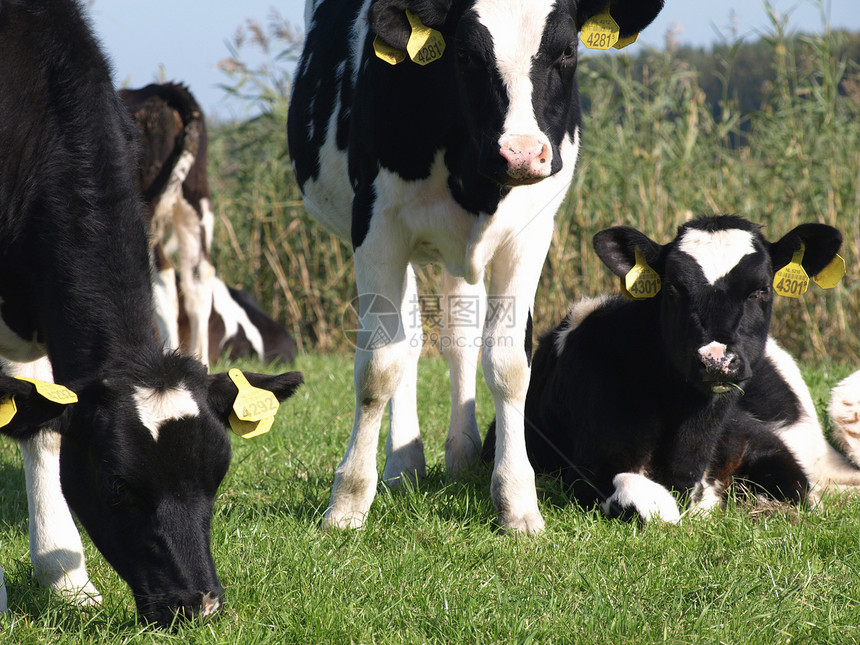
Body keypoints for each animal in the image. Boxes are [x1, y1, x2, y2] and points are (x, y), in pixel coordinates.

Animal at [288, 0, 664, 532]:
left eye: (567, 50)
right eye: (464, 54)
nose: (522, 154)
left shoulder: (531, 230)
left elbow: (507, 361)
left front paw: (517, 502)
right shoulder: (377, 225)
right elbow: (380, 366)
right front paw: (347, 503)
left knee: (458, 338)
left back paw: (461, 456)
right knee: (410, 340)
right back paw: (404, 465)